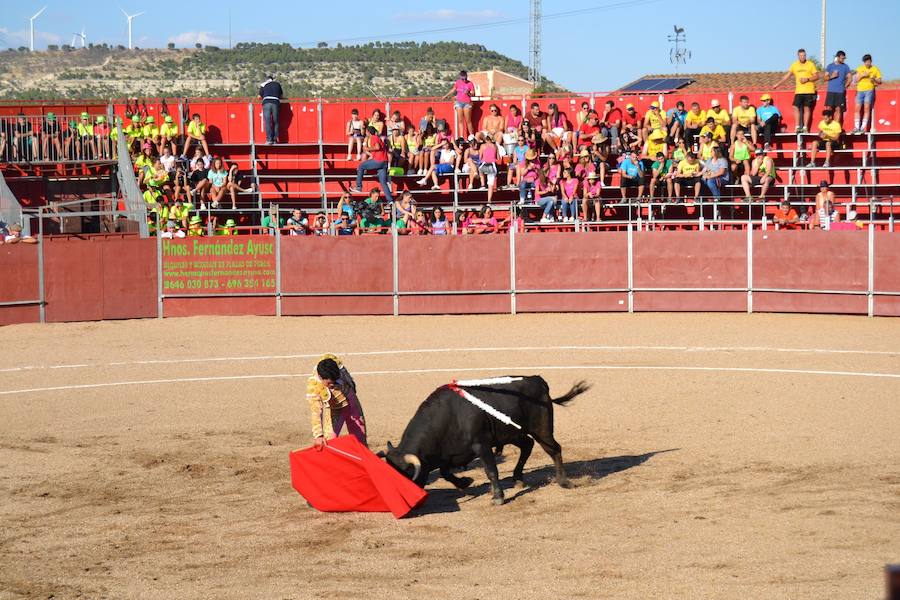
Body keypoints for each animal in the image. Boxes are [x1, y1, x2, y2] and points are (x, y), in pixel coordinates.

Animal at [380, 378, 592, 504]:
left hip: (541, 429)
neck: (448, 417)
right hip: (513, 433)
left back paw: (563, 481)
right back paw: (517, 478)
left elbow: (491, 470)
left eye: (405, 475)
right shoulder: (449, 455)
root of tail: (538, 380)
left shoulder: (481, 445)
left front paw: (498, 497)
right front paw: (465, 482)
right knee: (527, 445)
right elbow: (445, 473)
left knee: (554, 449)